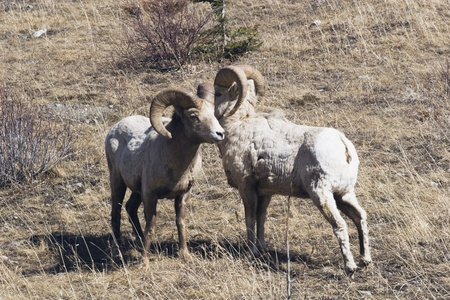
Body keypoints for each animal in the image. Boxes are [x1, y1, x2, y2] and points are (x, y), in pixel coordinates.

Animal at [105, 84, 225, 258]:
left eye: (213, 114)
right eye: (194, 116)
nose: (220, 133)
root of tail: (114, 129)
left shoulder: (183, 194)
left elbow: (180, 222)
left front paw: (185, 255)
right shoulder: (150, 194)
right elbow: (151, 226)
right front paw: (145, 260)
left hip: (137, 190)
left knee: (130, 208)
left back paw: (139, 243)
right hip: (117, 181)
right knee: (116, 213)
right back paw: (117, 251)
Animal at [213, 64, 370, 274]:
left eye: (217, 93)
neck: (238, 125)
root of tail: (343, 144)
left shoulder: (246, 186)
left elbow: (250, 217)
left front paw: (252, 252)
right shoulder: (265, 192)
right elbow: (261, 217)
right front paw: (262, 248)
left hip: (322, 194)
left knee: (340, 225)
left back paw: (350, 266)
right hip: (344, 194)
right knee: (360, 217)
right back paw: (365, 260)